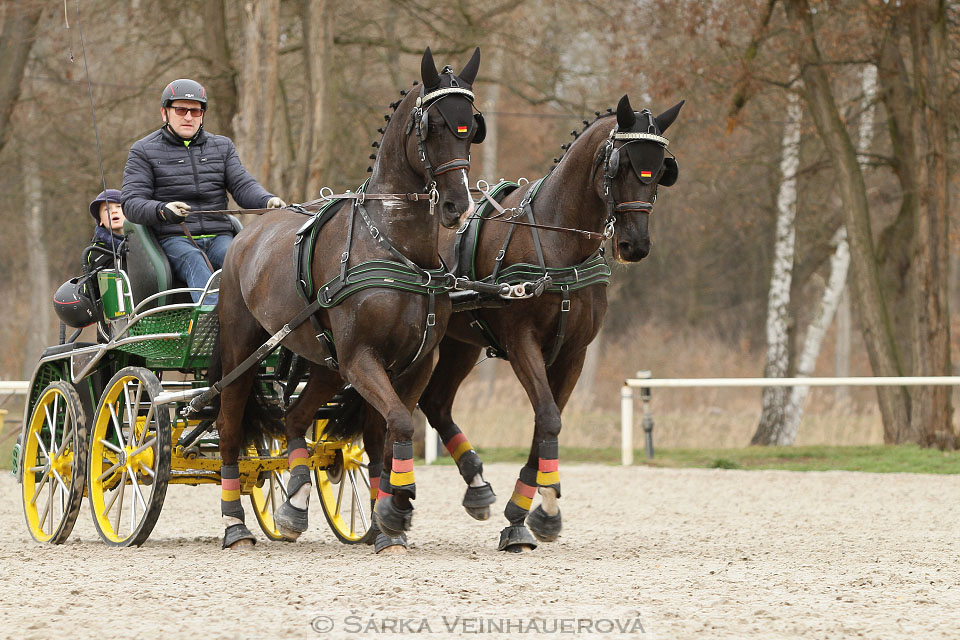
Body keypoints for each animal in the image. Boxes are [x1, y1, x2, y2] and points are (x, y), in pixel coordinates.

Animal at [216, 48, 488, 552]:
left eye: (470, 127)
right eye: (433, 126)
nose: (457, 206)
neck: (397, 248)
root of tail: (245, 237)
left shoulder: (414, 362)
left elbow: (385, 432)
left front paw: (385, 521)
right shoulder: (362, 357)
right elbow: (400, 424)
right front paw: (397, 508)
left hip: (325, 364)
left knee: (295, 418)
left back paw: (295, 502)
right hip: (241, 353)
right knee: (228, 426)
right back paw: (234, 525)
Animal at [420, 94, 684, 552]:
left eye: (662, 169)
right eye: (621, 164)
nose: (635, 244)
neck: (559, 241)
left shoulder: (572, 353)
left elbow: (547, 422)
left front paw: (539, 507)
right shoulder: (521, 343)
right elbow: (547, 417)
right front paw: (525, 515)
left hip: (461, 343)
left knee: (434, 402)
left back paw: (476, 485)